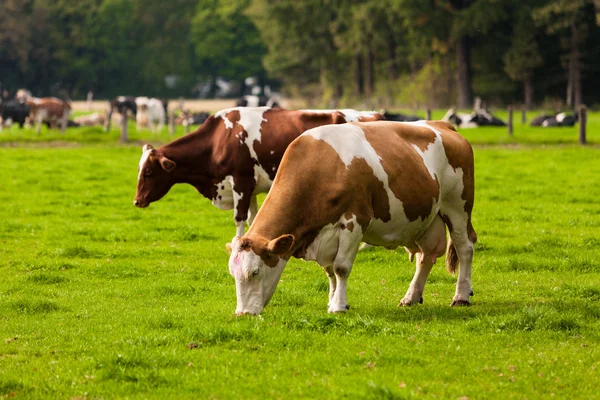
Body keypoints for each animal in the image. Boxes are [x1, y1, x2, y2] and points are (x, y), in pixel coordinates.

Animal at [134, 107, 382, 238]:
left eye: (148, 172)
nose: (137, 201)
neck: (219, 139)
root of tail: (373, 114)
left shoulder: (241, 182)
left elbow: (239, 217)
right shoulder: (250, 188)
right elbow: (252, 217)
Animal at [226, 119, 478, 316]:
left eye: (255, 272)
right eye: (233, 274)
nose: (242, 313)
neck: (321, 167)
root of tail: (441, 125)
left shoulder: (354, 220)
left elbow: (341, 267)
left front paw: (338, 305)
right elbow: (329, 271)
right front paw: (332, 299)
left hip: (457, 207)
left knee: (465, 247)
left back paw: (461, 296)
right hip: (428, 219)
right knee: (425, 257)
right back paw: (411, 297)